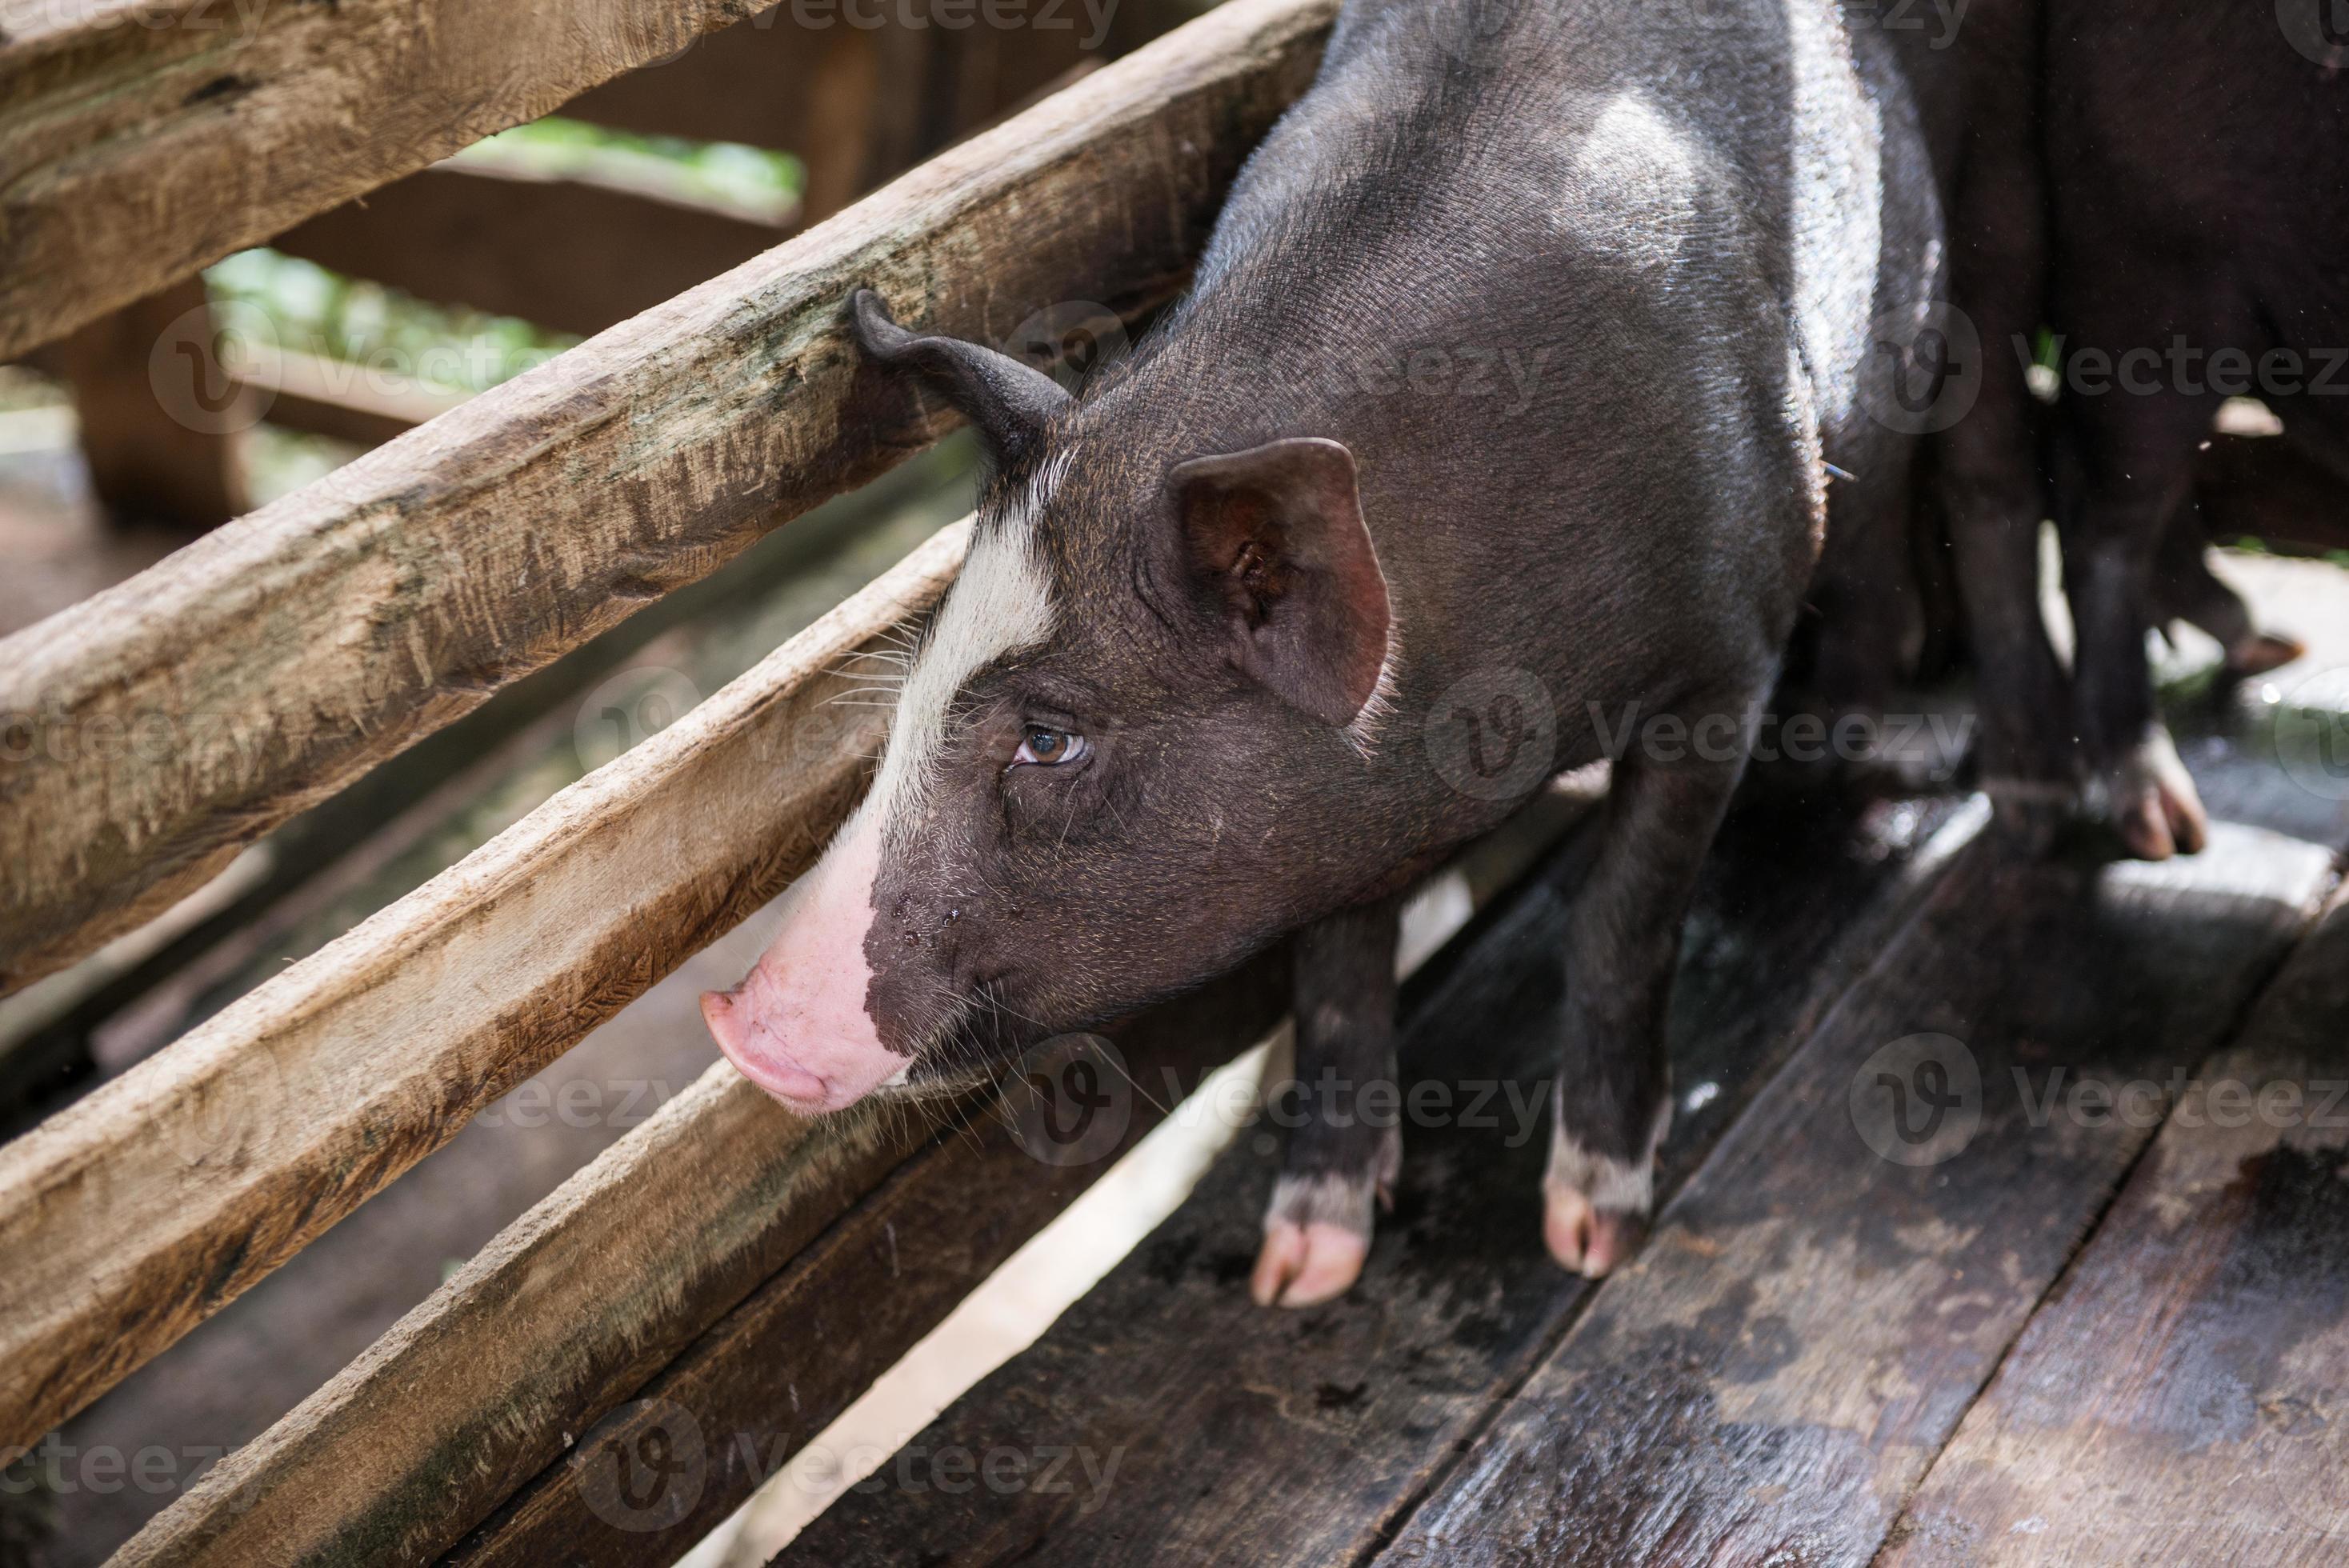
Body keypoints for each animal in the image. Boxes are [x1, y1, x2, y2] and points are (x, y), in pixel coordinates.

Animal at [705, 0, 1944, 1304]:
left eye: (1049, 737)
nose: (735, 1019)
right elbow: (1339, 971)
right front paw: (1299, 1271)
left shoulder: (1724, 661)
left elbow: (1624, 920)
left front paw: (1592, 1237)